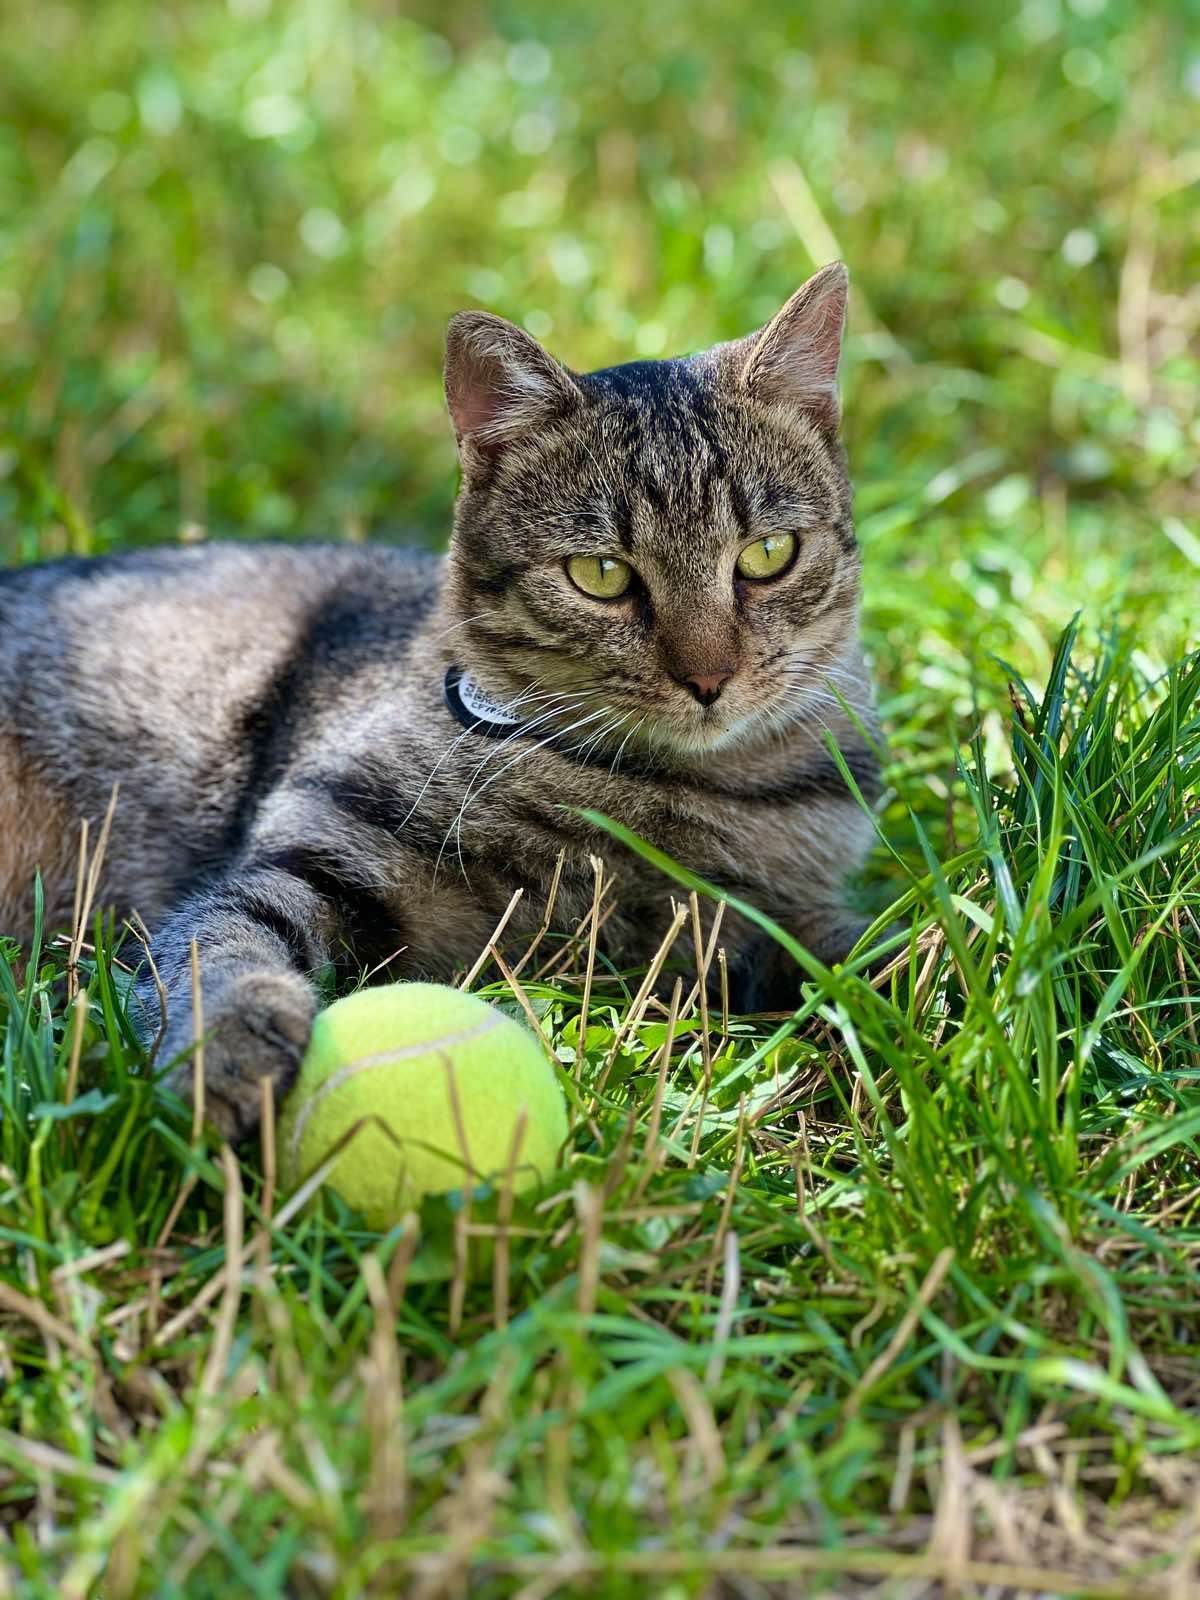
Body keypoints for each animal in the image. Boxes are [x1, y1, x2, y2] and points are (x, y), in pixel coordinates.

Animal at [0, 262, 883, 1139]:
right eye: (601, 574)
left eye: (768, 555)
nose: (708, 679)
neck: (659, 791)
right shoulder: (323, 847)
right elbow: (220, 942)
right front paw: (223, 1049)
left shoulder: (775, 920)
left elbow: (884, 958)